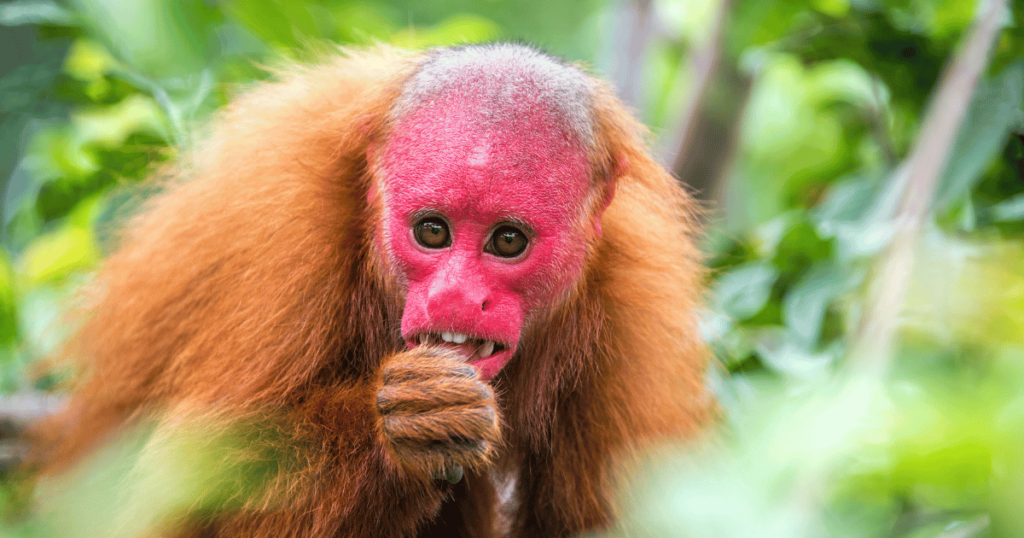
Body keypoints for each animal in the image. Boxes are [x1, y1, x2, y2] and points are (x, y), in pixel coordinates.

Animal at [37, 43, 712, 536]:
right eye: (432, 231)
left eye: (508, 241)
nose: (456, 298)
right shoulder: (282, 242)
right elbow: (185, 502)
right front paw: (403, 426)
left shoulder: (632, 307)